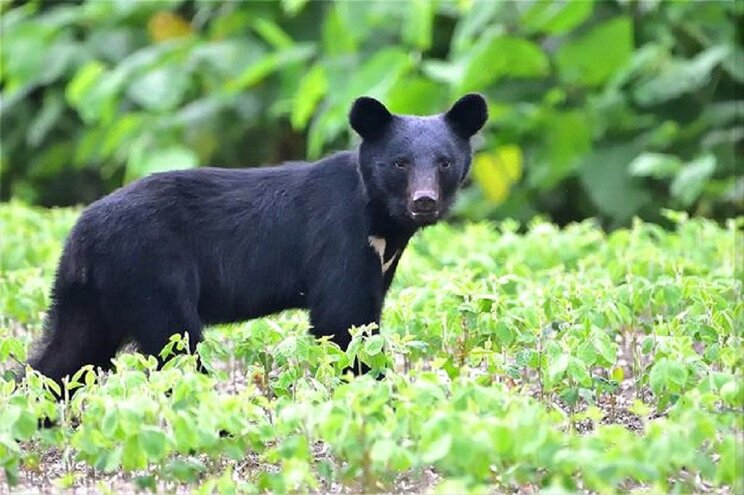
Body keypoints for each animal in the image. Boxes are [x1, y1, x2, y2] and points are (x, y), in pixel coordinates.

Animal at [29, 94, 488, 388]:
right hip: (150, 271)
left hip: (93, 294)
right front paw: (372, 389)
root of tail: (82, 234)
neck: (381, 221)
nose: (424, 202)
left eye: (445, 162)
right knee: (173, 342)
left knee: (67, 352)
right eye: (400, 163)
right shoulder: (339, 236)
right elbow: (342, 317)